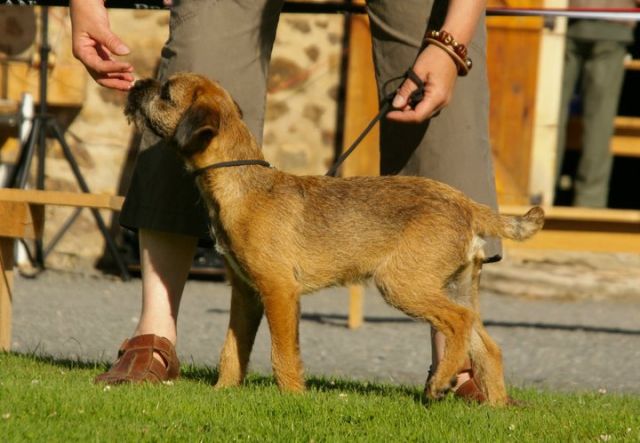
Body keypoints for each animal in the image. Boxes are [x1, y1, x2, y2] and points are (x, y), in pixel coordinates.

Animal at [126, 73, 544, 410]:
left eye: (165, 93)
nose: (136, 83)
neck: (243, 185)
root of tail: (466, 203)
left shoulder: (279, 292)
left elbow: (283, 354)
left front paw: (293, 399)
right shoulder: (245, 294)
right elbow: (232, 349)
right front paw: (222, 393)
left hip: (403, 284)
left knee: (459, 322)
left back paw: (442, 383)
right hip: (456, 286)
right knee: (488, 346)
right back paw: (496, 408)